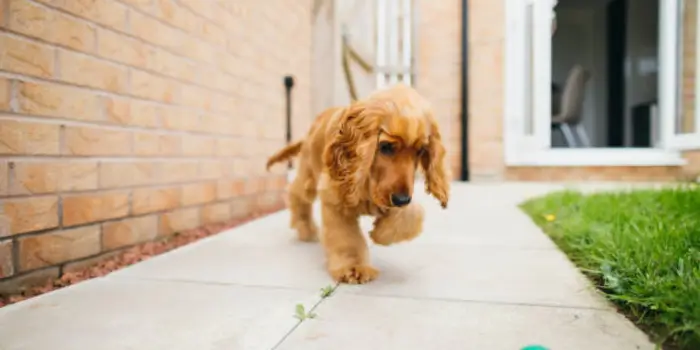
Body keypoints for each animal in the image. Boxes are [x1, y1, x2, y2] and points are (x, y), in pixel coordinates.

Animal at [266, 84, 452, 284]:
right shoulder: (336, 197)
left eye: (420, 151)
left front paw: (381, 234)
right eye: (386, 147)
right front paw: (353, 268)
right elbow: (346, 236)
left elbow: (411, 214)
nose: (401, 200)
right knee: (296, 193)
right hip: (309, 171)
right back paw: (305, 229)